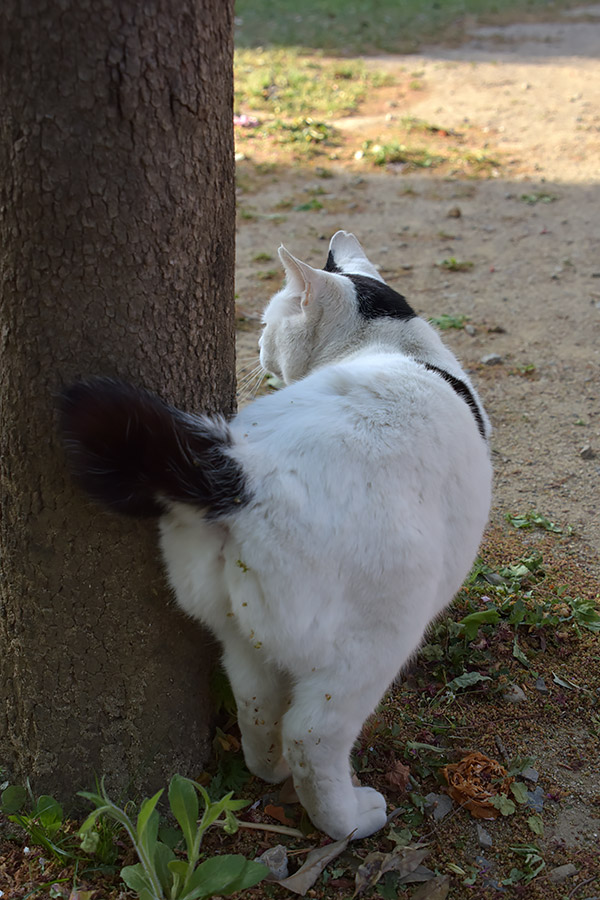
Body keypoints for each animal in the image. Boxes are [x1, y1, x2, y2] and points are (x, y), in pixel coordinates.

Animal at [61, 232, 492, 844]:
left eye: (267, 323)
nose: (259, 348)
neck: (396, 343)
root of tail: (242, 471)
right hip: (370, 649)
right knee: (312, 735)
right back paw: (349, 819)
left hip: (242, 638)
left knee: (258, 710)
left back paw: (272, 769)